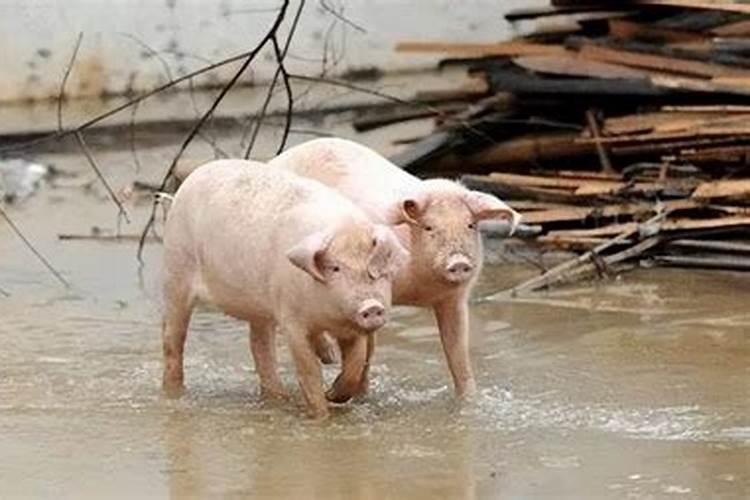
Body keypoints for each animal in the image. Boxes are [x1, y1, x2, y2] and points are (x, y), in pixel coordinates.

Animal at [160, 161, 406, 418]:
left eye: (375, 267)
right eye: (335, 268)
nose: (372, 306)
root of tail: (191, 178)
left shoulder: (351, 326)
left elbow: (355, 365)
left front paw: (333, 394)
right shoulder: (291, 320)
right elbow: (308, 370)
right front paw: (322, 413)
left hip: (259, 307)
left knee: (259, 346)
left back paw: (287, 391)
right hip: (175, 269)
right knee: (172, 339)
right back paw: (173, 392)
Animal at [270, 138, 524, 398]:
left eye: (470, 225)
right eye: (429, 227)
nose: (459, 262)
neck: (418, 289)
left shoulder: (454, 299)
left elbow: (458, 353)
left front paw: (469, 399)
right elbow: (368, 347)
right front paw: (348, 394)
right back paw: (329, 357)